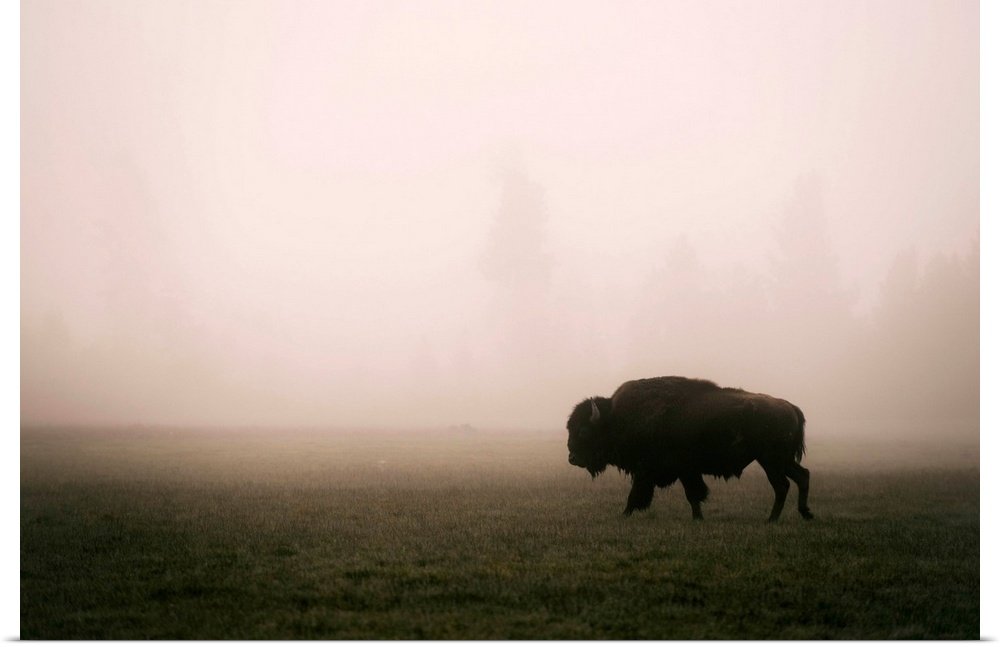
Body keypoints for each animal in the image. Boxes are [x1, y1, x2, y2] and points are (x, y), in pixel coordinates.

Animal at [566, 376, 813, 522]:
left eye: (584, 431)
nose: (572, 457)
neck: (615, 418)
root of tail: (790, 407)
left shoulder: (656, 470)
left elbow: (641, 494)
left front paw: (624, 514)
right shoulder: (683, 471)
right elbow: (692, 495)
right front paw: (697, 517)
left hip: (771, 461)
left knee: (782, 485)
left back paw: (772, 519)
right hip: (781, 461)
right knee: (802, 476)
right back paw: (805, 513)